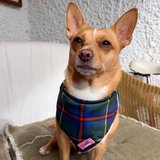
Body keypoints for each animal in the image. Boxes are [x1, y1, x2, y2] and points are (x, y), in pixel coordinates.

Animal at [39, 1, 138, 160]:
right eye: (78, 40)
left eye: (106, 43)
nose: (84, 53)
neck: (88, 91)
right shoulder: (63, 139)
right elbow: (63, 155)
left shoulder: (100, 146)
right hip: (57, 133)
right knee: (53, 138)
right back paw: (45, 147)